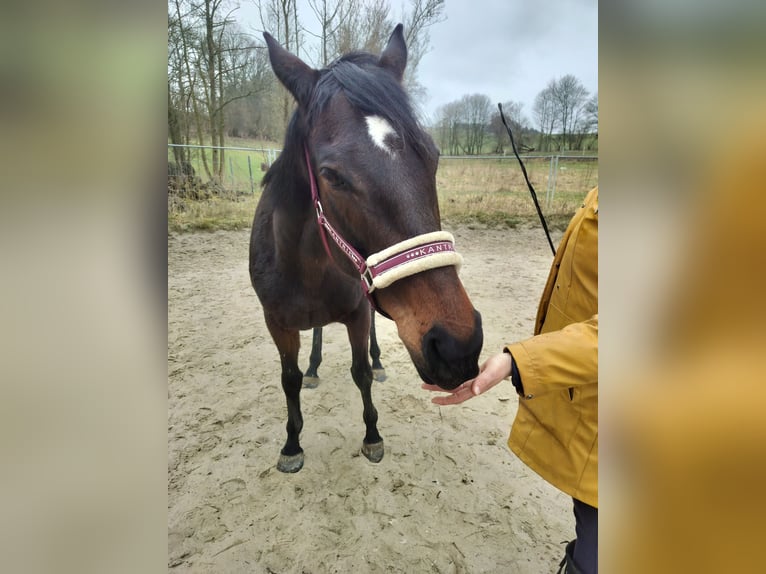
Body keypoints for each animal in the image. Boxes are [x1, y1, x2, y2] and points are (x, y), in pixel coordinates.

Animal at [249, 24, 483, 473]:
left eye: (433, 156)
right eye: (331, 176)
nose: (456, 346)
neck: (304, 269)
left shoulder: (359, 312)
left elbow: (360, 372)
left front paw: (372, 434)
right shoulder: (276, 323)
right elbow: (288, 380)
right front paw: (292, 443)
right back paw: (314, 366)